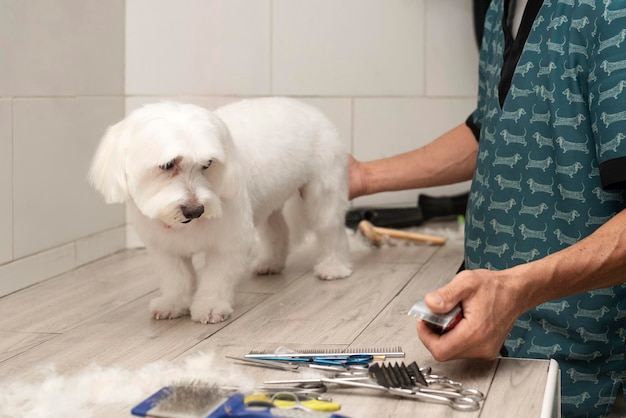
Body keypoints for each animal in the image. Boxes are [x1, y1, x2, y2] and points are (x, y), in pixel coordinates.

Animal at [88, 97, 352, 324]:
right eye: (167, 165)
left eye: (208, 164)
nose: (195, 210)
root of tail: (309, 107)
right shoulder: (164, 247)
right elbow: (177, 278)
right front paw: (173, 304)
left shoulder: (229, 242)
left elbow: (217, 278)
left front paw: (210, 307)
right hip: (269, 200)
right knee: (277, 230)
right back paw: (271, 262)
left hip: (323, 191)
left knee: (331, 230)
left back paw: (333, 268)